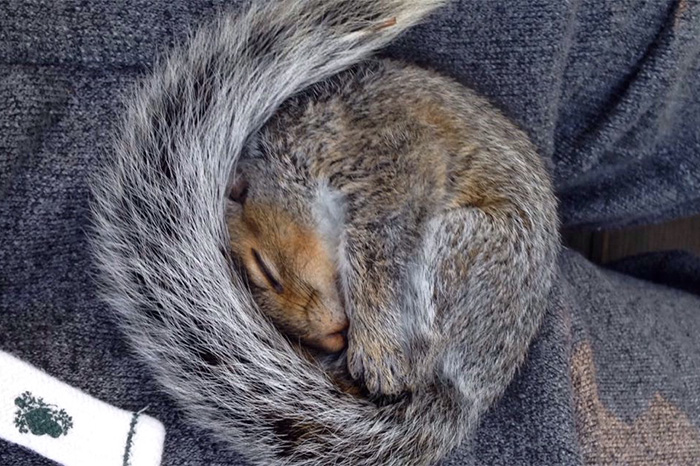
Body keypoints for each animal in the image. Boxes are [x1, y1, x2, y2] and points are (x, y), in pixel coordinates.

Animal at [91, 0, 560, 465]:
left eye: (264, 269)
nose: (332, 339)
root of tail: (470, 393)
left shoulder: (390, 158)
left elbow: (376, 249)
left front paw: (376, 345)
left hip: (467, 252)